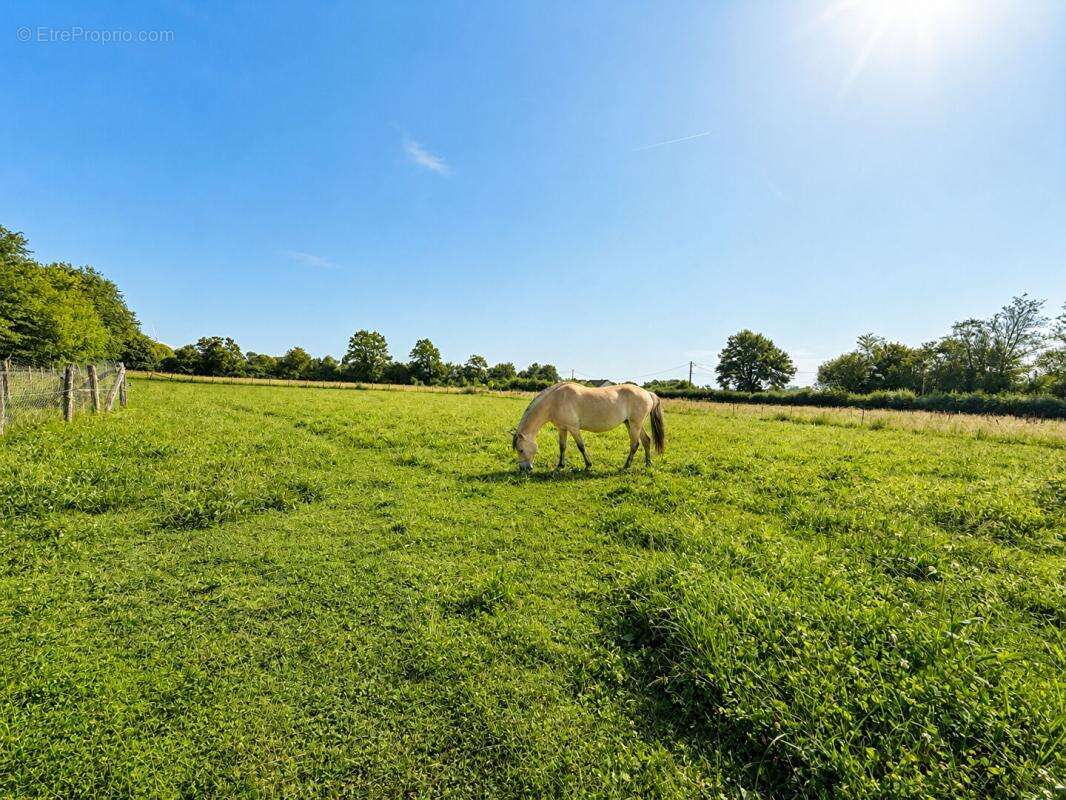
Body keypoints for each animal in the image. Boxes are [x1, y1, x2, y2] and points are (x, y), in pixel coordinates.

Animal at [511, 382, 665, 472]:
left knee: (635, 444)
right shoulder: (562, 428)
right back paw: (648, 464)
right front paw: (560, 465)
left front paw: (588, 465)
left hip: (634, 425)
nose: (524, 469)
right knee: (646, 440)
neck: (556, 400)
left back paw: (626, 466)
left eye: (521, 450)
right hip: (632, 424)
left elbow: (581, 446)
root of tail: (647, 393)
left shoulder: (573, 428)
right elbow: (562, 446)